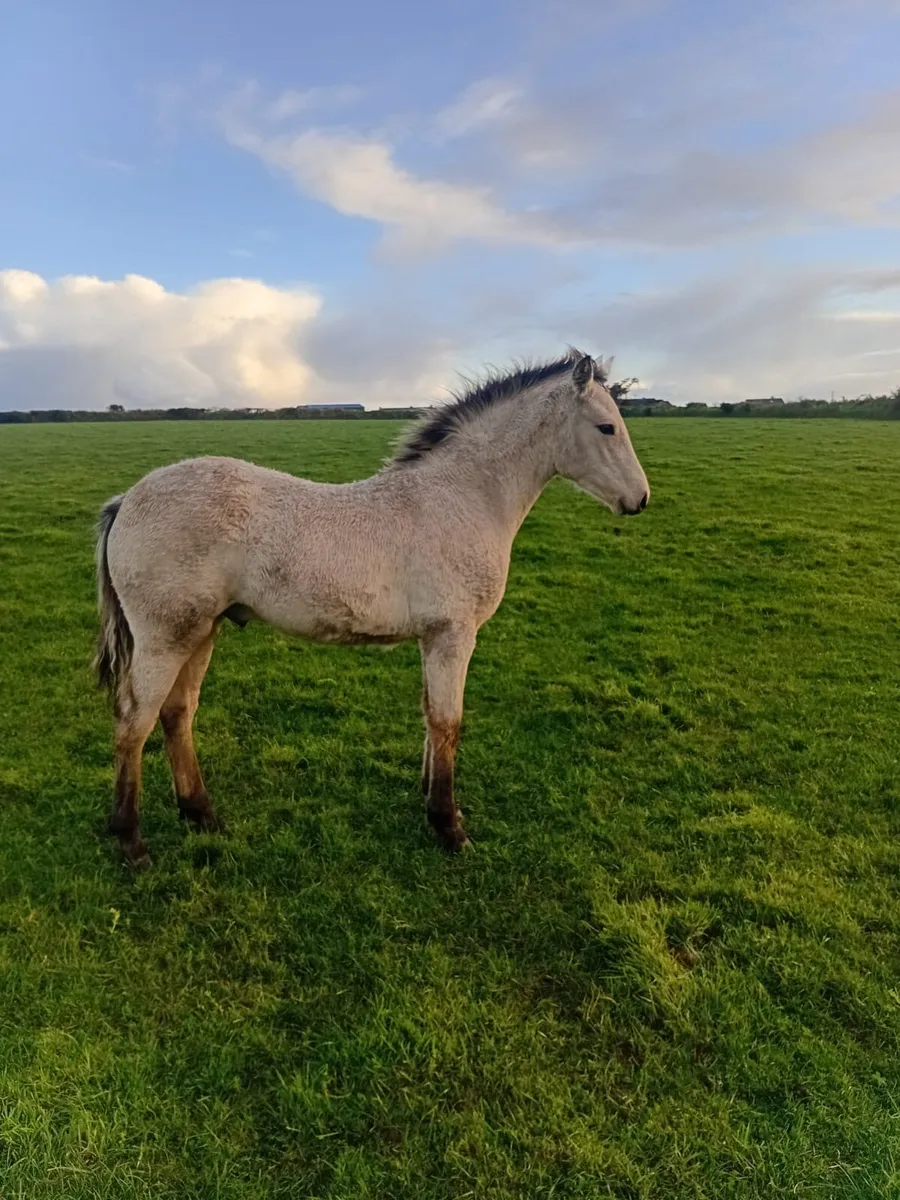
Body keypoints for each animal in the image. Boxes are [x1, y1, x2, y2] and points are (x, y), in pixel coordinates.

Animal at [94, 350, 650, 868]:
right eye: (606, 426)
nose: (640, 500)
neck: (462, 499)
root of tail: (126, 500)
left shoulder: (433, 638)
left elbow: (430, 716)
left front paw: (432, 802)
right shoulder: (453, 635)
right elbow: (448, 721)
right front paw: (449, 826)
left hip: (202, 631)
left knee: (177, 714)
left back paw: (201, 814)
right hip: (165, 637)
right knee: (134, 723)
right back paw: (131, 842)